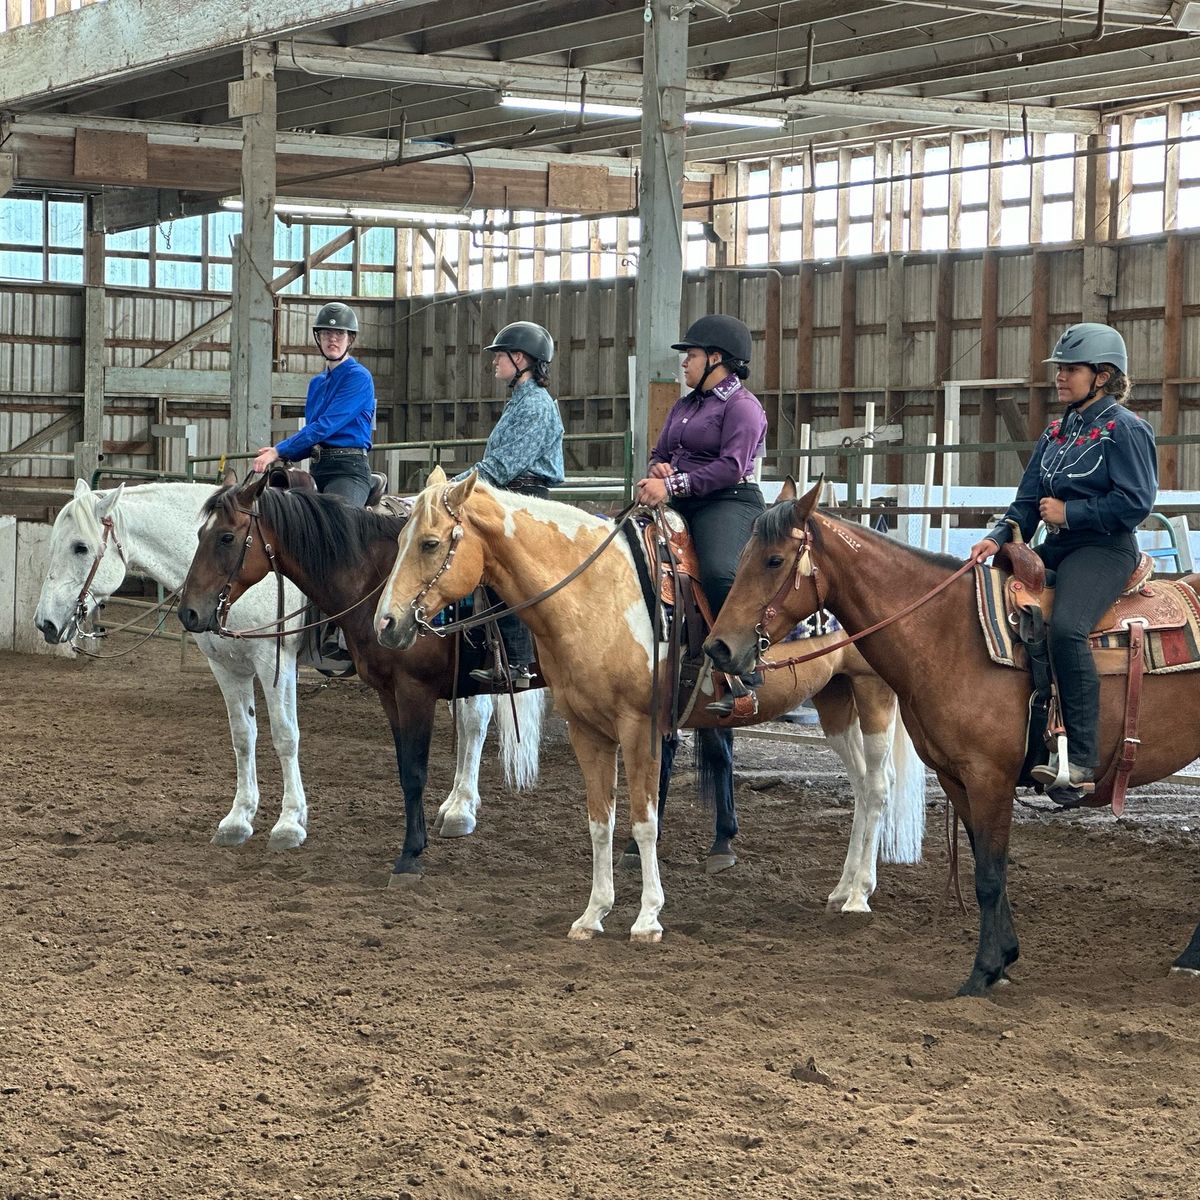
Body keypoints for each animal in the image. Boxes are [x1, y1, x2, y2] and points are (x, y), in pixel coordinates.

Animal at [32, 480, 535, 854]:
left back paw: (461, 810)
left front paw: (290, 823)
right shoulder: (226, 666)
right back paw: (456, 804)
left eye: (80, 547)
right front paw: (238, 819)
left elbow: (285, 736)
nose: (45, 624)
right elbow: (243, 736)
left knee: (474, 721)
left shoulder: (272, 660)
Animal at [175, 472, 544, 878]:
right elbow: (403, 770)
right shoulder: (386, 692)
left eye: (226, 537)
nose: (189, 612)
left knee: (475, 727)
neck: (377, 581)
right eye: (198, 534)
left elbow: (413, 770)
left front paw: (407, 856)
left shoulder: (412, 691)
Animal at [372, 463, 926, 940]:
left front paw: (647, 918)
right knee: (861, 786)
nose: (387, 624)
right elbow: (600, 822)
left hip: (873, 693)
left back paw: (859, 895)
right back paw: (844, 887)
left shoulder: (639, 727)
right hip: (834, 698)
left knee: (878, 786)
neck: (597, 594)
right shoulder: (587, 730)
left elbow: (644, 821)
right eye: (397, 542)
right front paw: (593, 914)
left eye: (429, 543)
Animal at [700, 477, 1200, 993]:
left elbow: (990, 876)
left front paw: (982, 973)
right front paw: (1003, 960)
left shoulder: (989, 778)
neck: (949, 634)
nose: (718, 647)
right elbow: (984, 865)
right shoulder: (956, 779)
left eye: (774, 560)